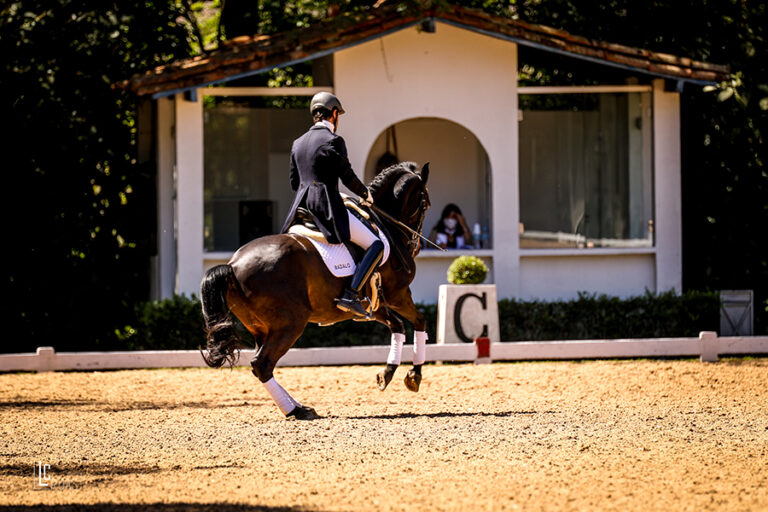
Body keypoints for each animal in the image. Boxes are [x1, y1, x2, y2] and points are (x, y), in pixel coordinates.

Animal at [201, 162, 428, 418]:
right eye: (424, 204)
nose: (415, 246)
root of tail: (232, 265)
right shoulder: (399, 294)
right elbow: (419, 321)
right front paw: (414, 376)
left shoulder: (375, 304)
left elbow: (397, 325)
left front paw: (387, 374)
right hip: (290, 324)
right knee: (262, 364)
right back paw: (296, 411)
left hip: (261, 328)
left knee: (262, 364)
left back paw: (300, 406)